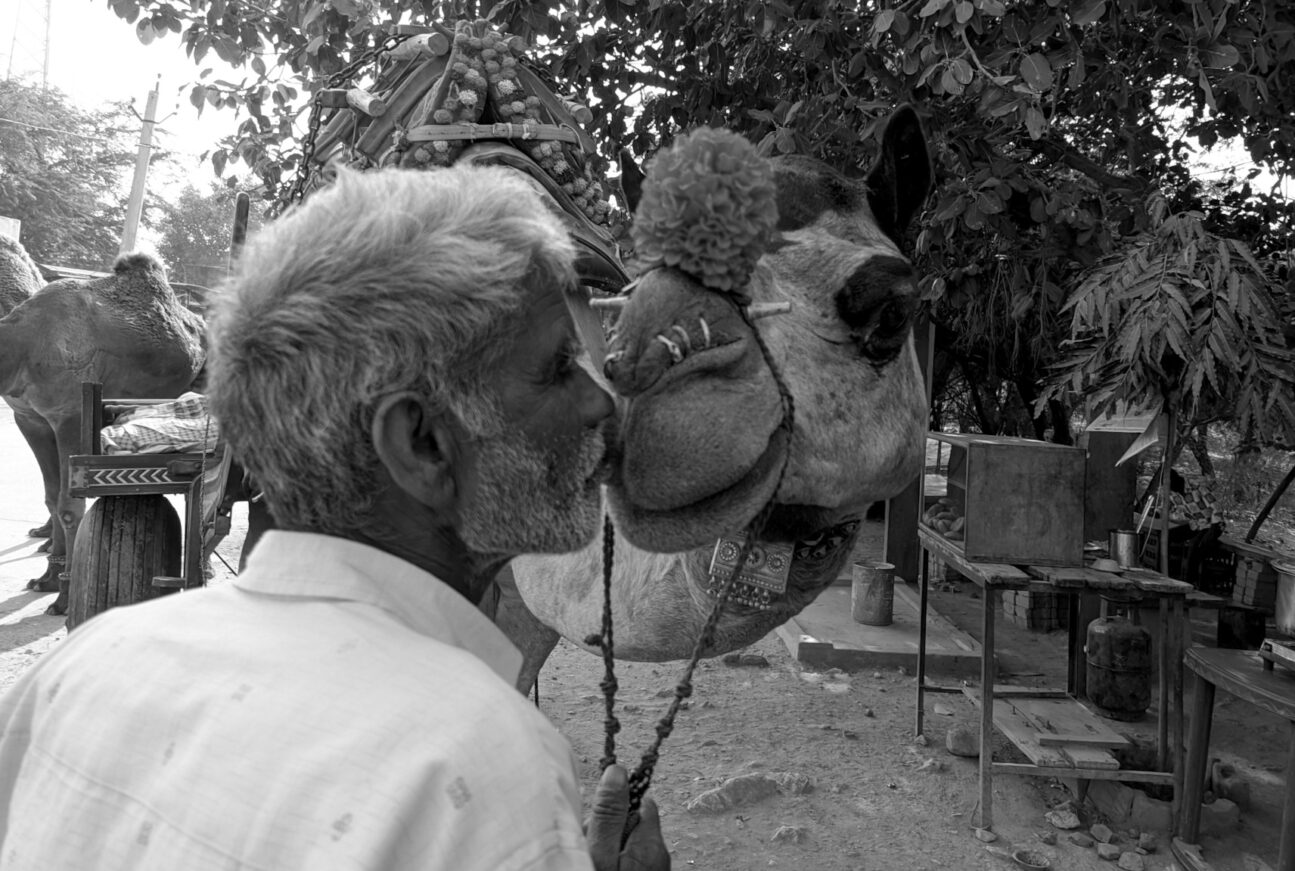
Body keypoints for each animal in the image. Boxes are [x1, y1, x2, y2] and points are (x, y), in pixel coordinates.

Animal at [0, 251, 207, 615]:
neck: (21, 342)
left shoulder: (69, 415)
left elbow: (70, 507)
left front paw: (65, 597)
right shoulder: (30, 418)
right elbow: (52, 496)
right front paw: (47, 579)